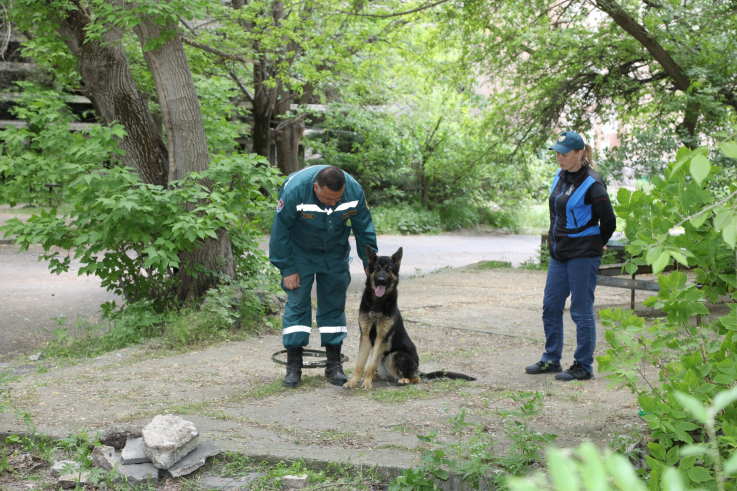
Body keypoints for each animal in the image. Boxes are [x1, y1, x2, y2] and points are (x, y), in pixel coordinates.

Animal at [344, 248, 478, 390]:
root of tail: (418, 368)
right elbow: (360, 364)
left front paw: (366, 383)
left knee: (417, 377)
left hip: (394, 356)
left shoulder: (382, 337)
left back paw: (405, 380)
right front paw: (354, 381)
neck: (378, 303)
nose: (381, 280)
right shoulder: (365, 336)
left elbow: (370, 365)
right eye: (376, 268)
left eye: (388, 269)